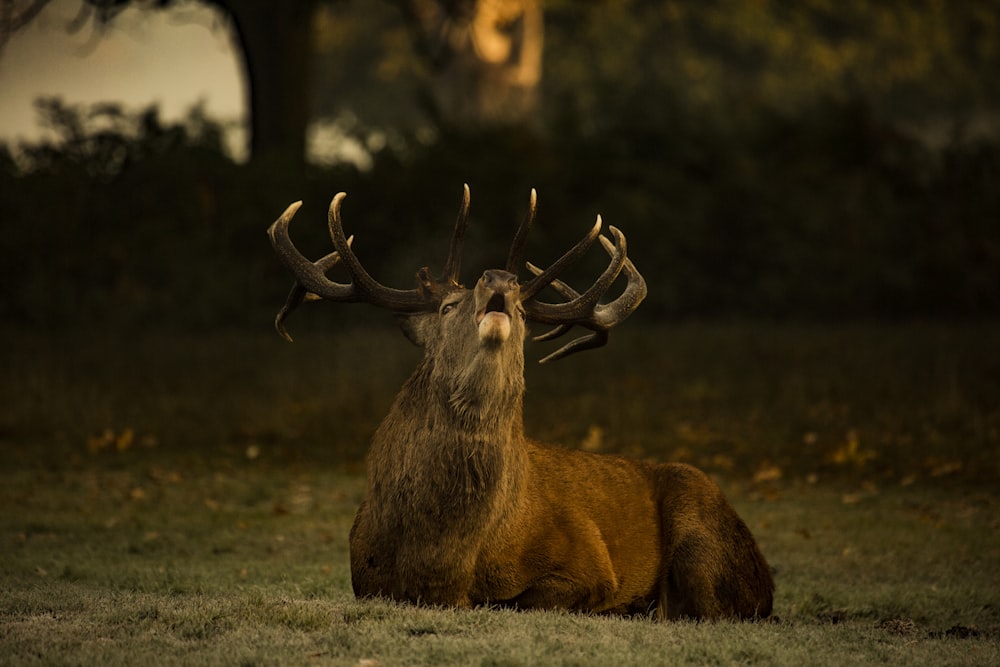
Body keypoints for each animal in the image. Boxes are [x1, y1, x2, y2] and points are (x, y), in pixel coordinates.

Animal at [266, 187, 772, 620]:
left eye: (527, 314)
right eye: (448, 306)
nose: (501, 279)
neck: (441, 567)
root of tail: (767, 585)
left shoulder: (591, 565)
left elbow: (521, 600)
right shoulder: (365, 578)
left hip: (702, 534)